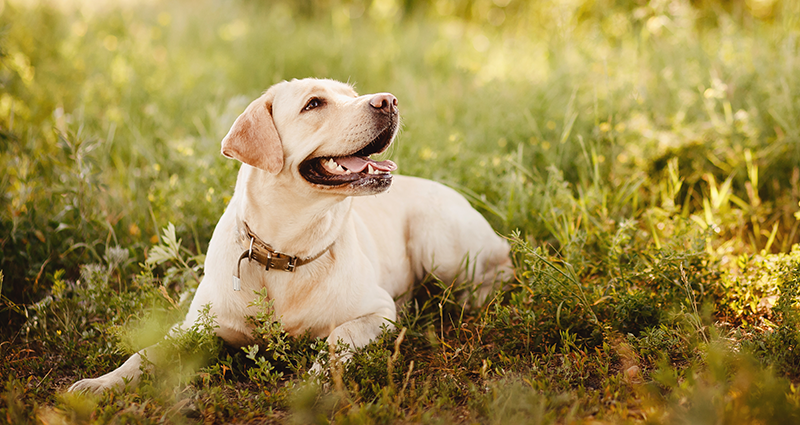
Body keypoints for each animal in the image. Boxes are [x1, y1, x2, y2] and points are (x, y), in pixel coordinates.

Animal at [67, 78, 512, 392]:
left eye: (351, 94)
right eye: (314, 104)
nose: (389, 100)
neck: (286, 253)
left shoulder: (378, 311)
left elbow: (339, 337)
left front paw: (316, 380)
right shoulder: (196, 325)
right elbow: (146, 353)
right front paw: (100, 384)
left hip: (440, 244)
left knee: (498, 271)